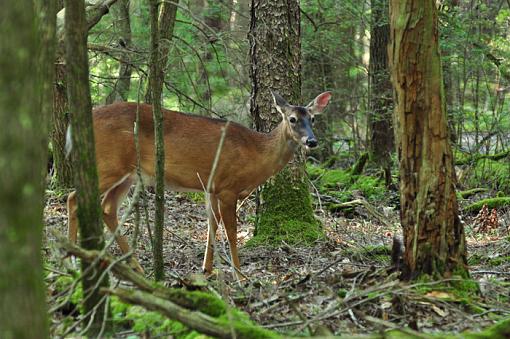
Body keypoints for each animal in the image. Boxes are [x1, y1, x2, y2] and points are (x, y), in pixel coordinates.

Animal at [66, 91, 330, 278]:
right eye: (292, 119)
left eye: (313, 118)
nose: (312, 141)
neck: (255, 154)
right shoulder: (227, 187)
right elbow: (231, 233)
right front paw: (240, 276)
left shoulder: (211, 188)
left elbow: (212, 225)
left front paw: (207, 269)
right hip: (108, 165)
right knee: (74, 199)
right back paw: (71, 259)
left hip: (129, 174)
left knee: (107, 208)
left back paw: (136, 267)